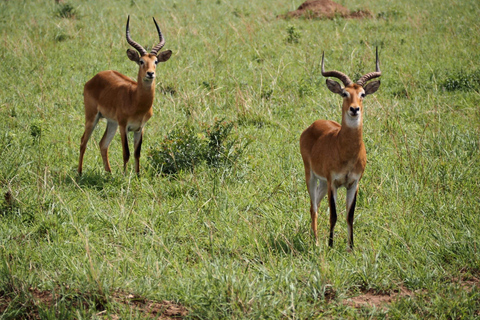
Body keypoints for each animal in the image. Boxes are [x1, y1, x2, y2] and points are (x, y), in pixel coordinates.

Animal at [79, 15, 173, 175]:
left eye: (156, 61)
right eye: (141, 61)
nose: (150, 73)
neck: (136, 100)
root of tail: (95, 77)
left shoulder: (140, 128)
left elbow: (137, 153)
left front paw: (137, 175)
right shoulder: (124, 126)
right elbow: (126, 153)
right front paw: (124, 176)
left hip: (111, 122)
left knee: (103, 144)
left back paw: (109, 174)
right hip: (92, 117)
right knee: (83, 141)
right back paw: (79, 173)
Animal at [300, 47, 382, 249]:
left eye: (363, 94)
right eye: (344, 93)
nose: (354, 109)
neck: (347, 152)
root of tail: (313, 125)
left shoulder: (354, 183)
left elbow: (349, 216)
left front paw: (351, 248)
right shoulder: (334, 183)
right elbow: (334, 215)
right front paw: (330, 246)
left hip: (322, 183)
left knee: (316, 204)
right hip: (311, 176)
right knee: (313, 206)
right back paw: (316, 242)